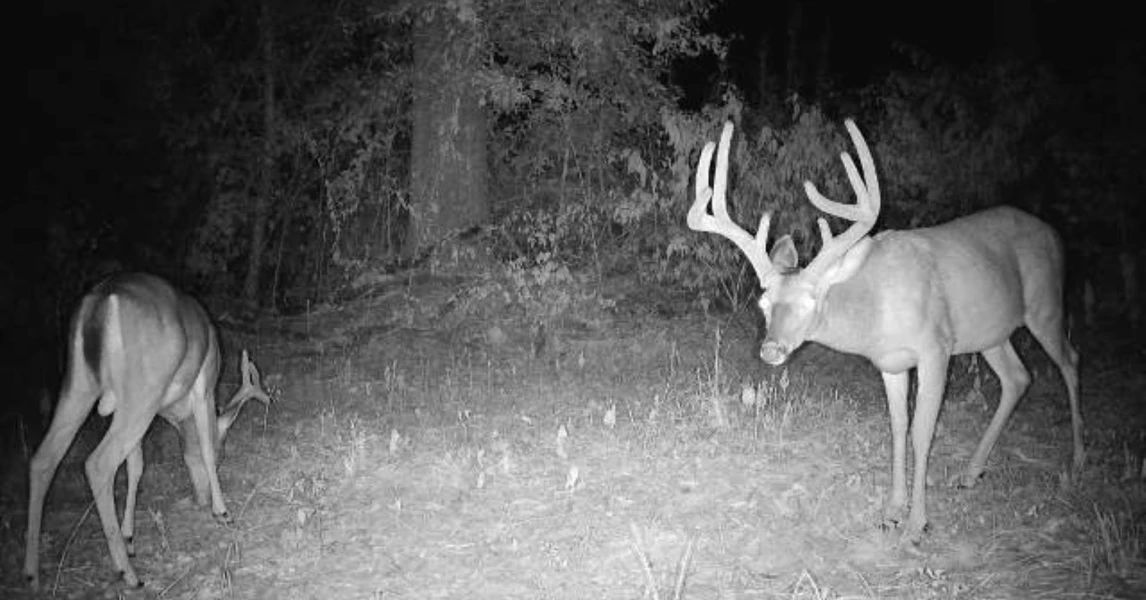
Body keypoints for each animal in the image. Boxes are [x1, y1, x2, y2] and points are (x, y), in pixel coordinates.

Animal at [24, 272, 272, 589]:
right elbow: (204, 445)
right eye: (223, 456)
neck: (177, 413)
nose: (201, 498)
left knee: (43, 459)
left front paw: (129, 536)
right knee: (98, 463)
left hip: (80, 385)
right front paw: (222, 511)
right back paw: (128, 573)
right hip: (144, 388)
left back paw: (32, 572)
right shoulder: (203, 385)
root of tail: (102, 301)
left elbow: (136, 466)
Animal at [688, 120, 1084, 541]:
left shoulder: (936, 349)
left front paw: (916, 525)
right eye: (763, 304)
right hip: (990, 331)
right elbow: (898, 427)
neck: (875, 308)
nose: (770, 350)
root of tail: (1053, 233)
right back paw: (972, 471)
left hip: (1045, 304)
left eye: (811, 302)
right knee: (1018, 377)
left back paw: (1077, 460)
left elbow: (923, 431)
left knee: (1070, 361)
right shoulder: (891, 363)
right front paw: (892, 511)